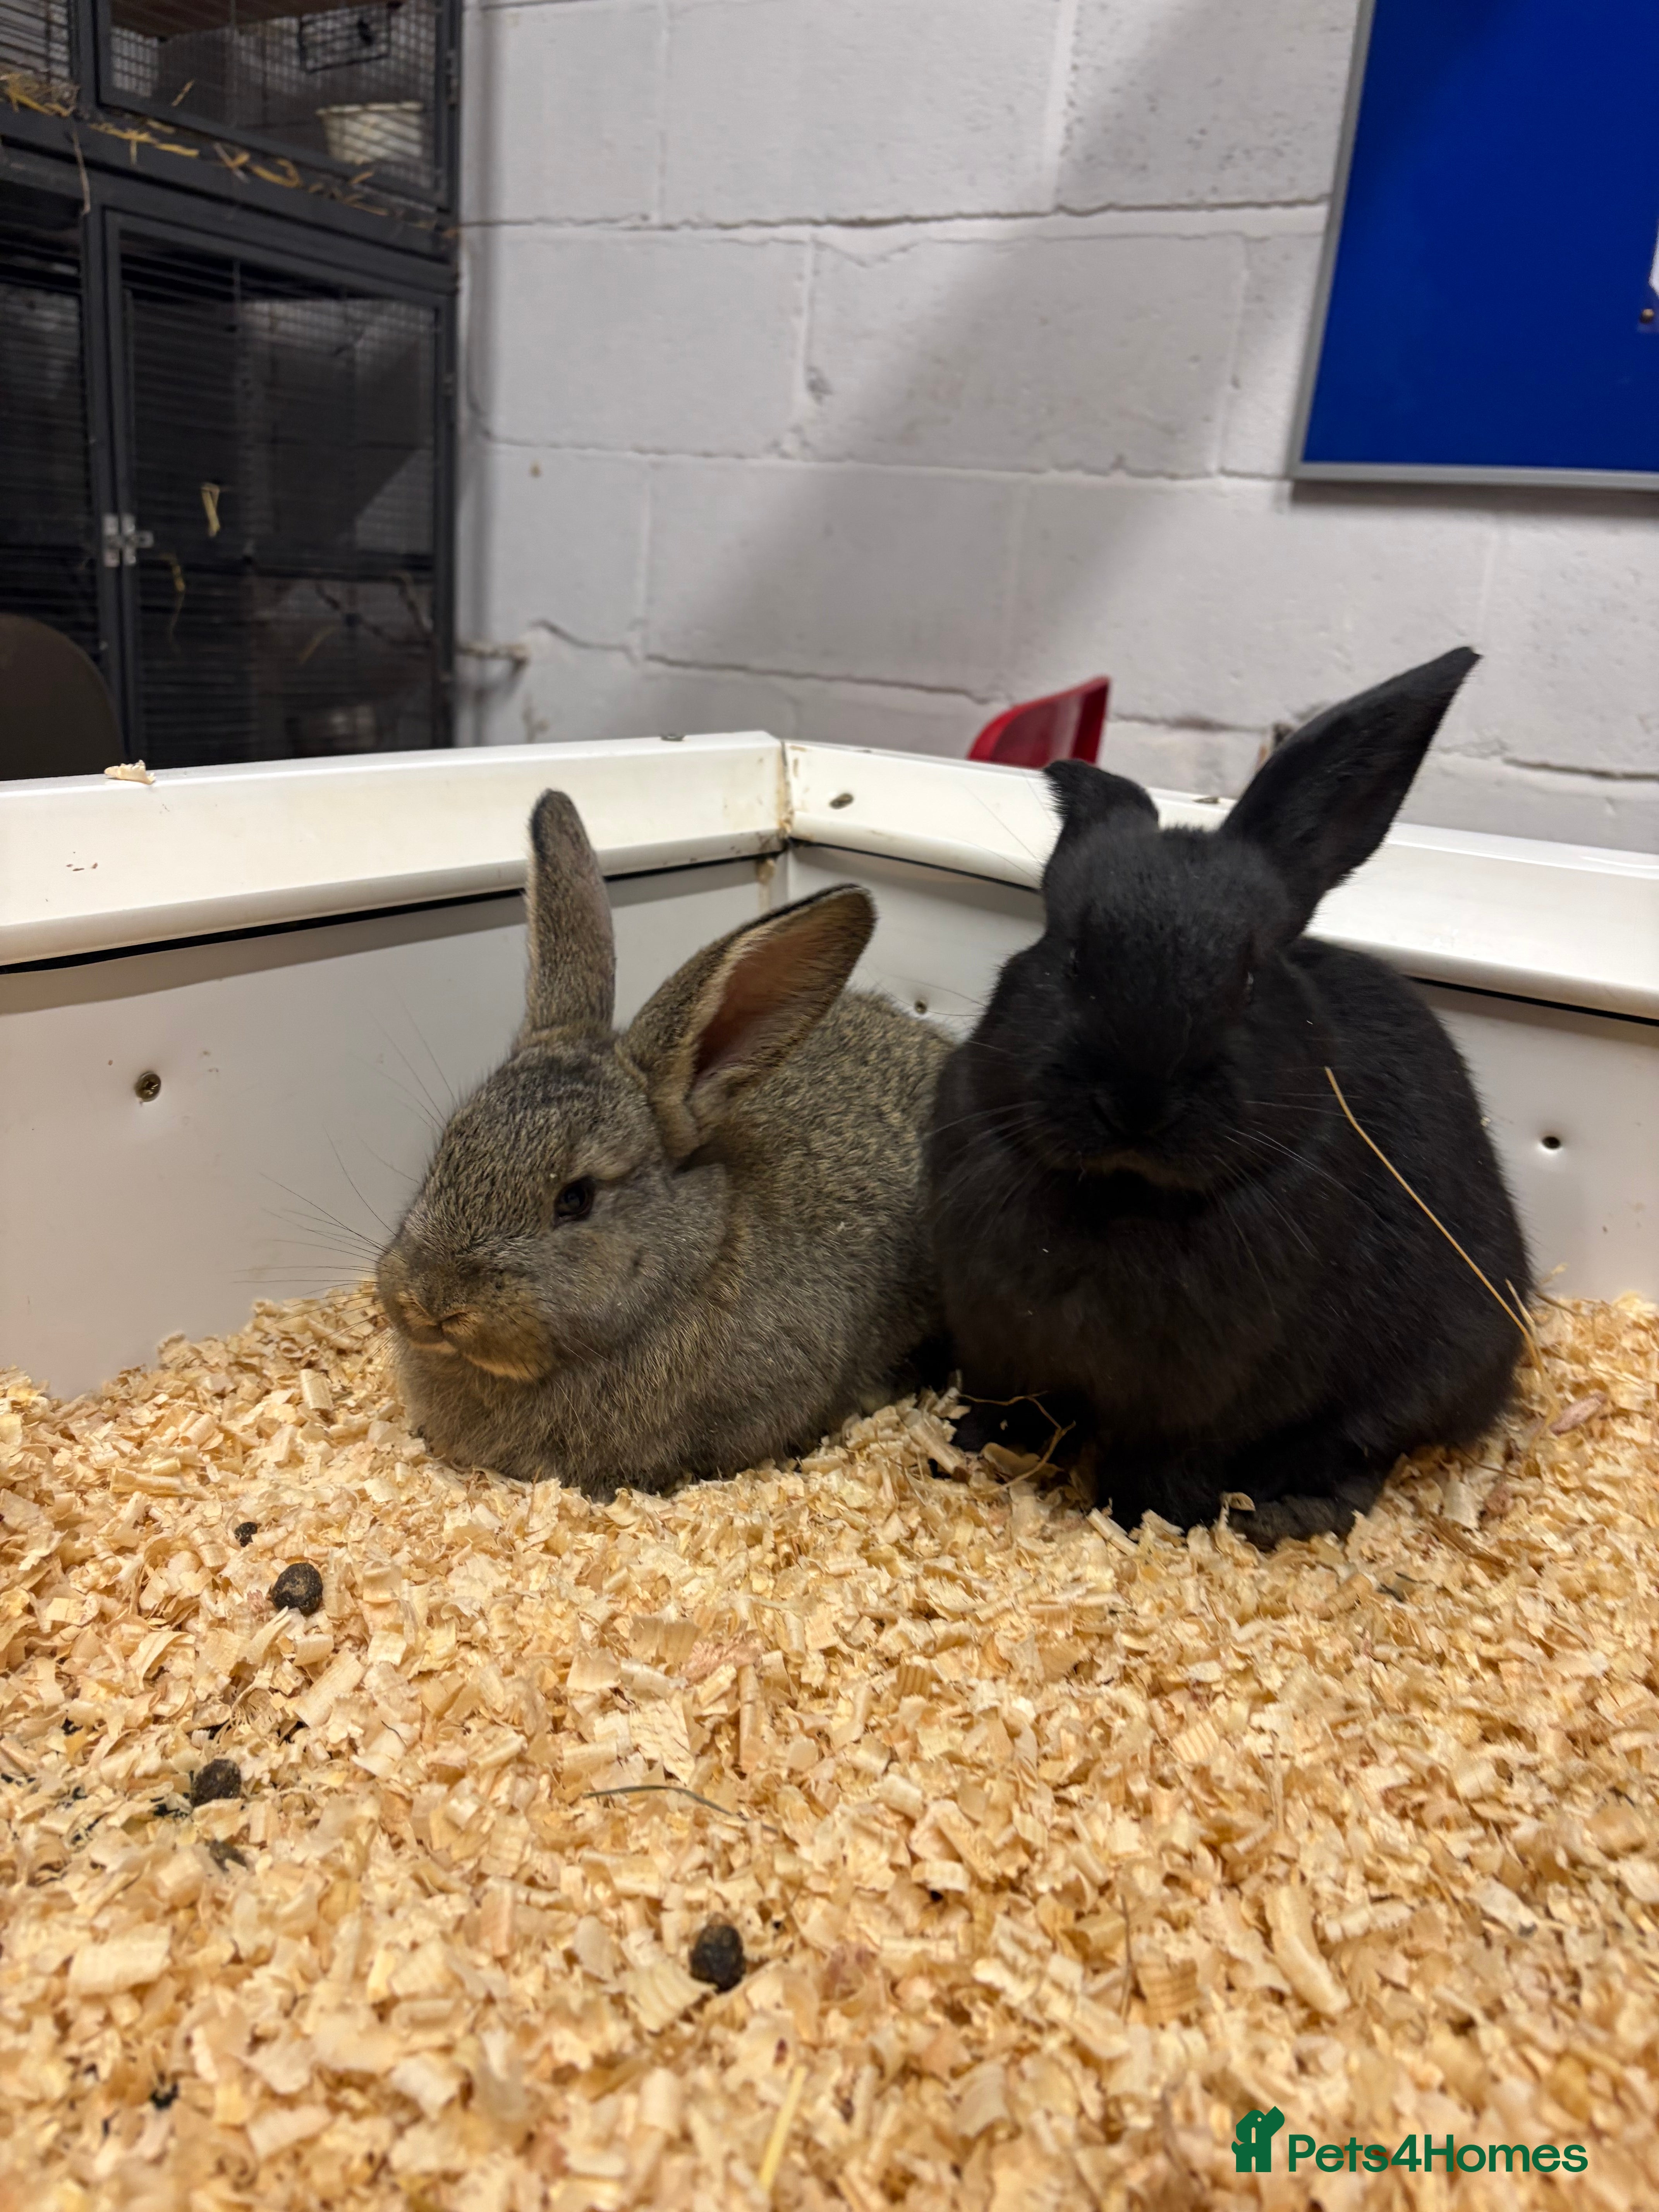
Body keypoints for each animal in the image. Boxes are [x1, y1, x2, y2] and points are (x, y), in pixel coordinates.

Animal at [926, 646, 1532, 1548]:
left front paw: (1142, 1522)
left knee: (1363, 1453)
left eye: (1248, 977)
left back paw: (1289, 1514)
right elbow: (1006, 1417)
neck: (1122, 1195)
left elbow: (1165, 1465)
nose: (1136, 1103)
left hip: (1428, 1370)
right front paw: (960, 1455)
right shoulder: (1001, 1352)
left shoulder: (1203, 1403)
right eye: (1068, 954)